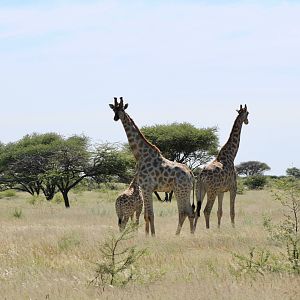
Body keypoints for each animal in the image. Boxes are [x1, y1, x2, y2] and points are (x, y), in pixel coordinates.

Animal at [109, 97, 196, 236]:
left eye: (122, 109)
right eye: (114, 110)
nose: (116, 118)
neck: (140, 155)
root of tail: (191, 174)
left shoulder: (146, 187)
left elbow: (150, 215)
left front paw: (153, 235)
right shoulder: (146, 188)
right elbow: (146, 215)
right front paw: (147, 235)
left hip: (180, 190)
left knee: (184, 212)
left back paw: (178, 235)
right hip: (184, 190)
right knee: (189, 212)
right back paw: (190, 234)